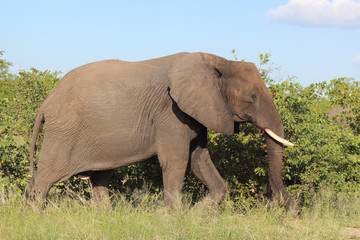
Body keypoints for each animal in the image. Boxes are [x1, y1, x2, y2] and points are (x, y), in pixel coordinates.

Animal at [29, 52, 294, 208]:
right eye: (253, 97)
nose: (293, 208)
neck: (217, 61)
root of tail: (47, 100)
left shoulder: (195, 113)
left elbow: (198, 161)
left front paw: (196, 216)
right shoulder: (171, 113)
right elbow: (176, 161)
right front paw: (172, 219)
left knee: (100, 178)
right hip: (63, 132)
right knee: (44, 180)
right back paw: (36, 217)